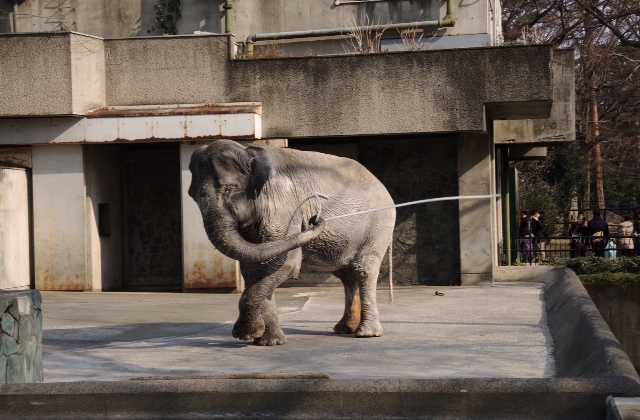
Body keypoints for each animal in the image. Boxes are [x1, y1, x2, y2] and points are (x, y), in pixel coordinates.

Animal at [188, 139, 396, 346]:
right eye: (192, 195)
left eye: (230, 189)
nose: (313, 219)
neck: (248, 152)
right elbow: (254, 268)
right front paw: (268, 341)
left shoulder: (283, 208)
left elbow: (284, 264)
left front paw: (245, 334)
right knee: (346, 275)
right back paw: (344, 329)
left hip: (379, 224)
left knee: (363, 269)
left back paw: (367, 333)